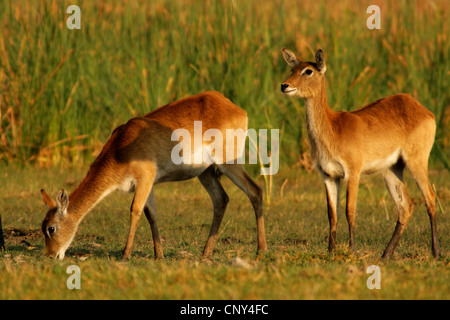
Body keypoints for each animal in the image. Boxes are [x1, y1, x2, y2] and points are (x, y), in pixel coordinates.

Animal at [39, 90, 268, 260]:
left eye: (51, 228)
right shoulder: (148, 184)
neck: (119, 149)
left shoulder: (145, 178)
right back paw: (205, 254)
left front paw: (125, 255)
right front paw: (159, 255)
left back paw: (261, 250)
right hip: (206, 172)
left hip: (229, 162)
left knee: (255, 191)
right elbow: (151, 215)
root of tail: (233, 106)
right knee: (221, 199)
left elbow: (135, 210)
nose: (51, 255)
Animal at [282, 49, 440, 260]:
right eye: (292, 68)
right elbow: (332, 214)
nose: (284, 85)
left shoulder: (353, 173)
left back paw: (436, 252)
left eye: (308, 71)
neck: (333, 129)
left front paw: (352, 251)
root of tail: (422, 108)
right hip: (391, 169)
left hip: (417, 161)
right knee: (405, 207)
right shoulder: (329, 176)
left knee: (429, 198)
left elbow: (350, 211)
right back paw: (385, 255)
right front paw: (331, 251)